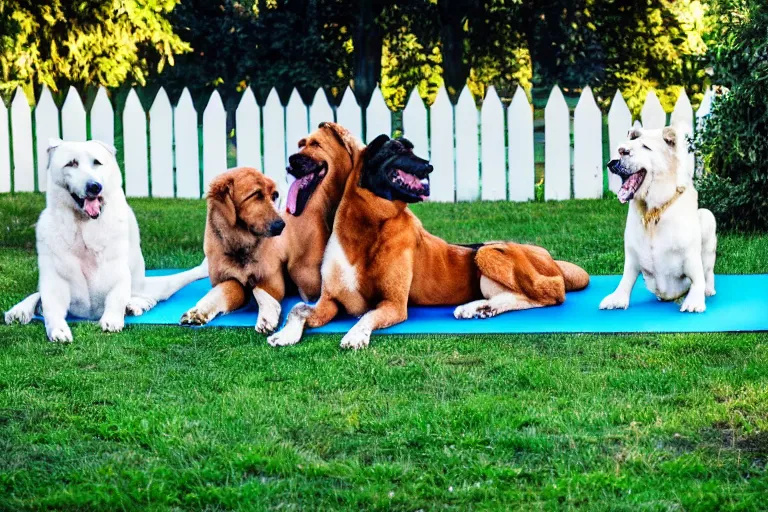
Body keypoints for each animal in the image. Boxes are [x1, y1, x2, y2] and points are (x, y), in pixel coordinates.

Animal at [4, 138, 208, 342]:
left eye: (97, 162)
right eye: (71, 163)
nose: (94, 186)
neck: (84, 226)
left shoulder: (117, 272)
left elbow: (116, 296)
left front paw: (112, 319)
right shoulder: (55, 281)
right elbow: (51, 308)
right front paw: (58, 330)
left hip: (148, 283)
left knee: (154, 292)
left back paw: (135, 305)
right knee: (38, 295)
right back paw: (19, 310)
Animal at [268, 134, 592, 350]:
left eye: (413, 148)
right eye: (397, 149)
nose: (430, 166)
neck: (367, 226)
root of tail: (550, 258)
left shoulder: (394, 304)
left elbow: (368, 314)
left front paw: (355, 335)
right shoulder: (331, 299)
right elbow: (298, 308)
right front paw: (284, 334)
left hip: (488, 251)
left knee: (550, 294)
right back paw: (480, 308)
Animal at [596, 126, 716, 314]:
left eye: (646, 147)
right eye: (624, 147)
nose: (620, 153)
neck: (652, 211)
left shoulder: (691, 256)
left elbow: (698, 278)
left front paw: (695, 300)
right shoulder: (631, 256)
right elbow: (626, 279)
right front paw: (617, 298)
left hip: (707, 217)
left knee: (709, 271)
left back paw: (709, 289)